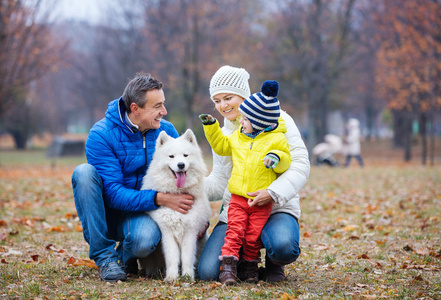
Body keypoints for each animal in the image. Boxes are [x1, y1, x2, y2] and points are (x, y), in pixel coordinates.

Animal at [140, 129, 211, 284]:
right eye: (171, 156)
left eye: (185, 155)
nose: (181, 165)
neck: (177, 192)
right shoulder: (167, 232)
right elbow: (172, 258)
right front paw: (172, 277)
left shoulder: (190, 232)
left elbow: (186, 258)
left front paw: (187, 277)